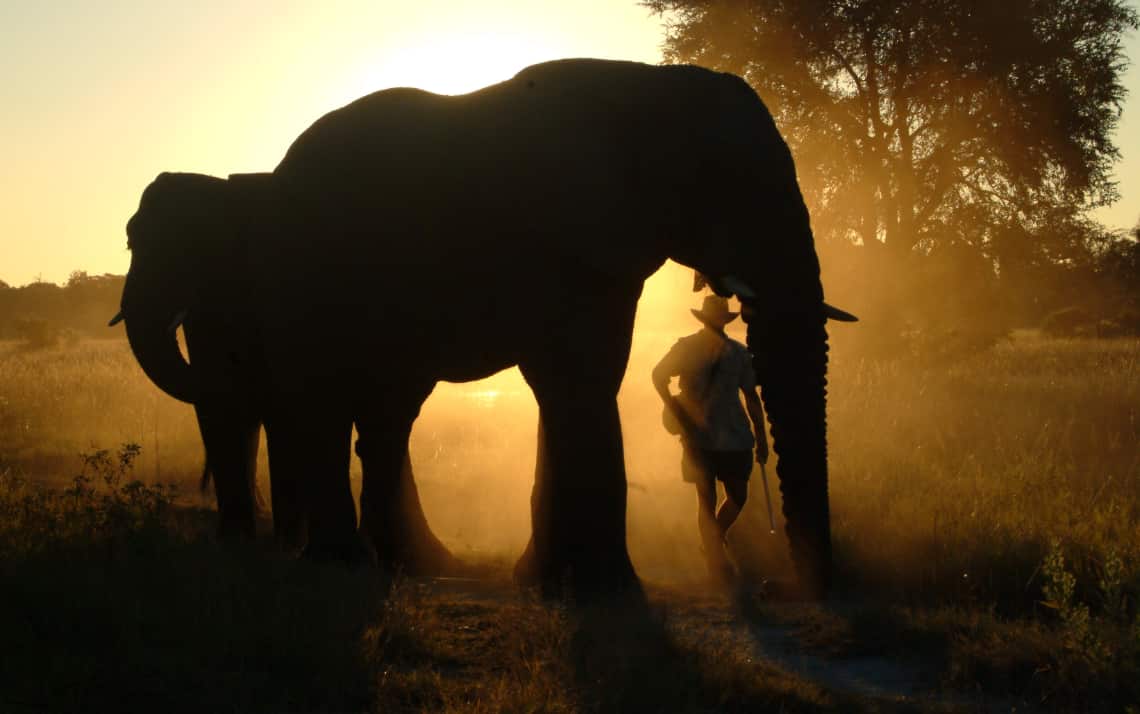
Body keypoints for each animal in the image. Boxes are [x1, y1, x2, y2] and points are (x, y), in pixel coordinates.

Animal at [120, 58, 852, 597]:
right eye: (726, 182)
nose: (805, 587)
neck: (648, 85)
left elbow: (580, 383)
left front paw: (550, 584)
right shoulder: (561, 241)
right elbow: (576, 381)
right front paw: (605, 592)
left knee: (386, 418)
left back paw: (422, 565)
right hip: (302, 276)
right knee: (326, 406)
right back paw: (341, 568)